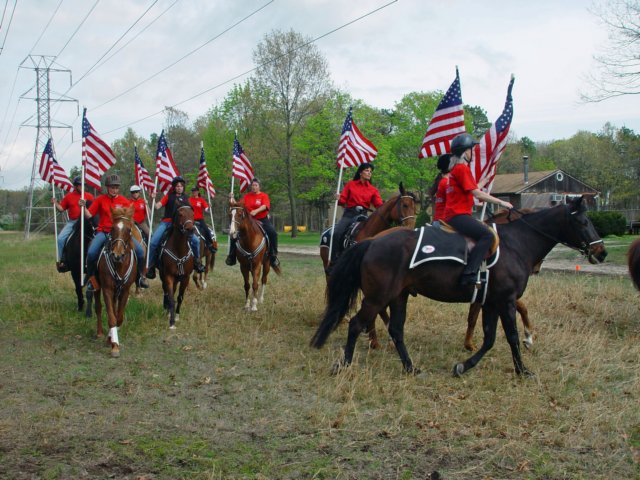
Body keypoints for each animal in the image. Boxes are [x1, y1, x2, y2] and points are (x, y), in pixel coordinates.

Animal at [87, 205, 140, 356]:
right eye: (112, 228)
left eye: (128, 229)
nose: (117, 254)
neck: (119, 265)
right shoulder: (107, 289)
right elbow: (111, 317)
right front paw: (115, 345)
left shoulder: (125, 290)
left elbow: (118, 317)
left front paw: (110, 339)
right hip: (97, 287)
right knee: (98, 308)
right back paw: (99, 332)